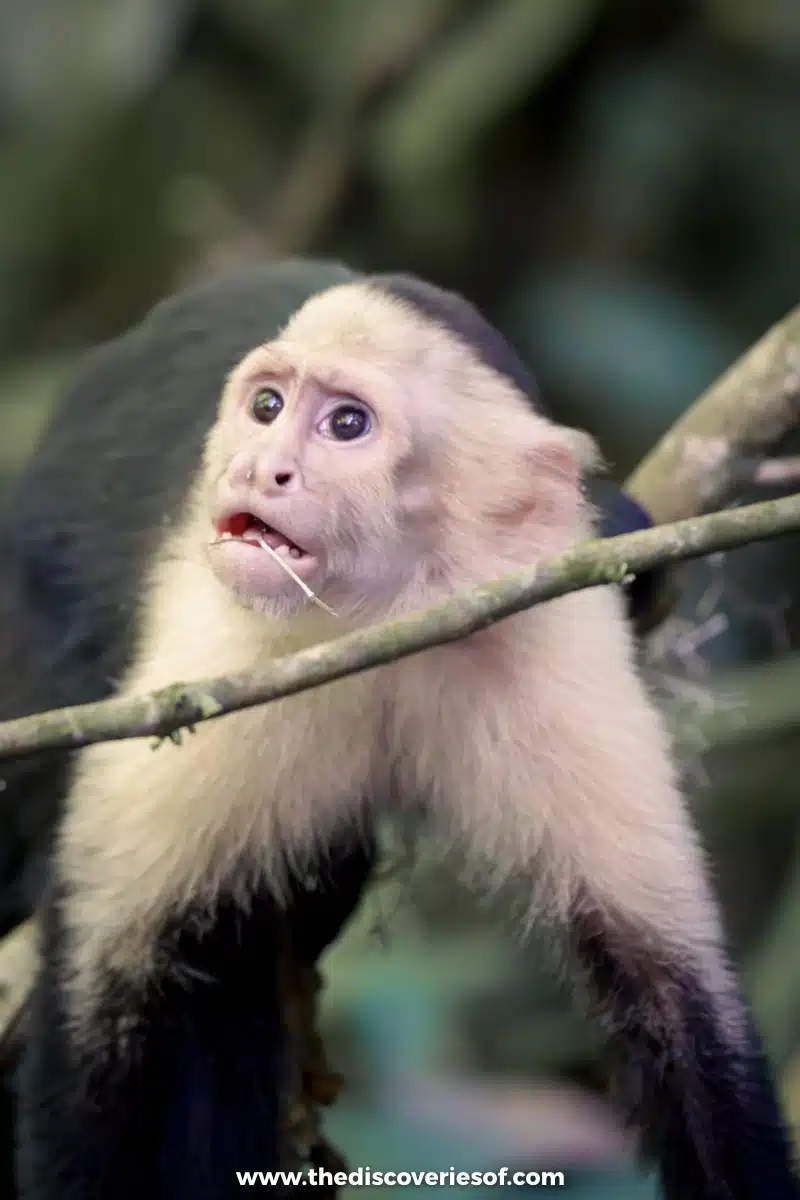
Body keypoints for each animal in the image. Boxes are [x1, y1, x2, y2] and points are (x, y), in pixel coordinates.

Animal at [0, 261, 794, 1200]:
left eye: (347, 425)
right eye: (267, 406)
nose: (259, 466)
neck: (389, 615)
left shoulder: (550, 632)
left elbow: (680, 998)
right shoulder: (217, 662)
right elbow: (103, 978)